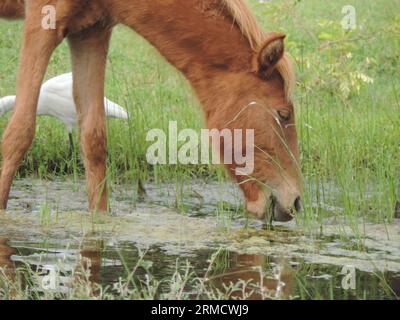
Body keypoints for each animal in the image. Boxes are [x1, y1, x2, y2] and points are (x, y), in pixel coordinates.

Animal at [0, 0, 300, 221]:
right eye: (282, 114)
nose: (295, 202)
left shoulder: (91, 33)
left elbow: (94, 141)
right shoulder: (42, 23)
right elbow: (19, 133)